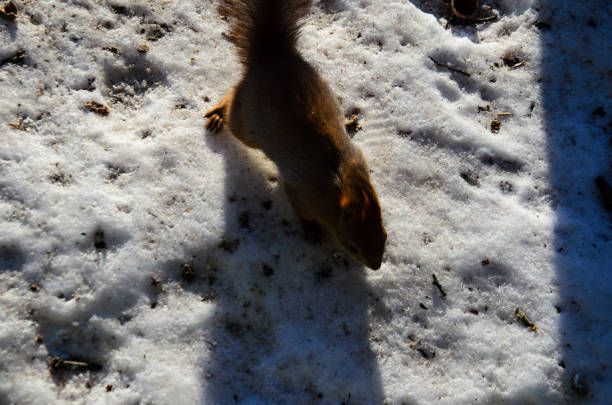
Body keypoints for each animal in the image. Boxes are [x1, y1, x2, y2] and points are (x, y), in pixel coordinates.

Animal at [206, 0, 388, 272]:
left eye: (384, 235)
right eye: (353, 245)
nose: (376, 266)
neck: (341, 189)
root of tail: (272, 56)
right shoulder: (301, 191)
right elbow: (299, 208)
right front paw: (311, 230)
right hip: (245, 125)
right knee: (231, 102)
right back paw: (218, 114)